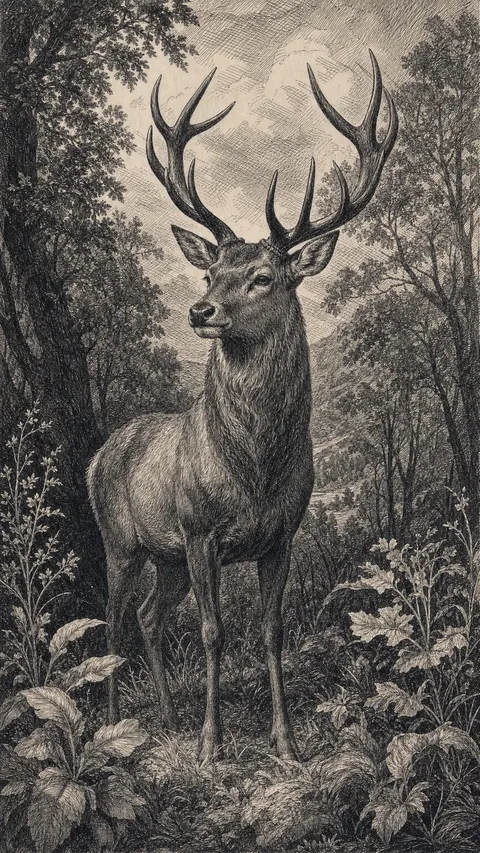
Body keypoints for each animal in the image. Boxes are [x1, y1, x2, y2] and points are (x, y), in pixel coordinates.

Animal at [87, 52, 397, 763]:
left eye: (265, 277)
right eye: (209, 273)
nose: (201, 310)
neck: (252, 469)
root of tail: (96, 456)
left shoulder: (280, 535)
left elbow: (272, 630)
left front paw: (285, 741)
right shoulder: (201, 530)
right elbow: (213, 632)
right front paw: (212, 744)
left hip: (165, 557)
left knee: (147, 616)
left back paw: (165, 717)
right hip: (121, 539)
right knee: (112, 625)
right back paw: (116, 729)